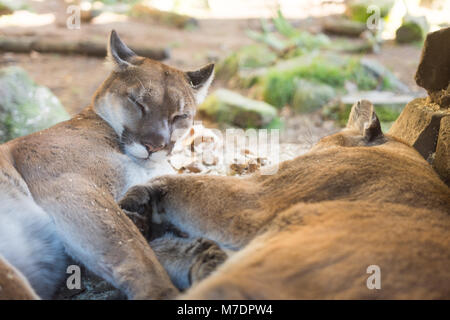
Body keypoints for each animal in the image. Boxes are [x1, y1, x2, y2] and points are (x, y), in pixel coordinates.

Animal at [0, 30, 214, 300]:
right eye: (138, 103)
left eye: (179, 116)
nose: (155, 145)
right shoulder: (73, 187)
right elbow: (133, 248)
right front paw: (162, 291)